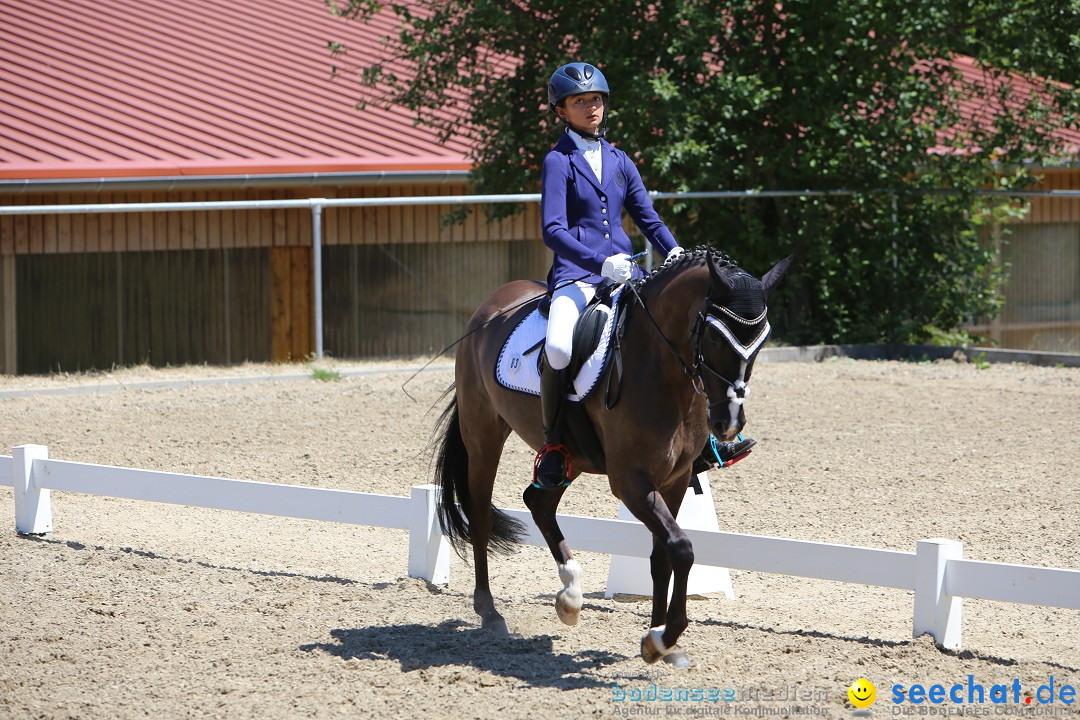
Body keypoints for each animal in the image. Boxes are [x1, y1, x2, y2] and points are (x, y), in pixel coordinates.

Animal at [429, 248, 794, 669]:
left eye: (761, 341)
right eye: (717, 337)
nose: (729, 423)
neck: (659, 369)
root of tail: (492, 304)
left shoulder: (675, 479)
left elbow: (663, 555)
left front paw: (658, 642)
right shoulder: (631, 481)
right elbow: (682, 548)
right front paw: (664, 635)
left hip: (568, 457)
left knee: (538, 501)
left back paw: (570, 597)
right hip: (484, 436)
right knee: (481, 513)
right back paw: (490, 612)